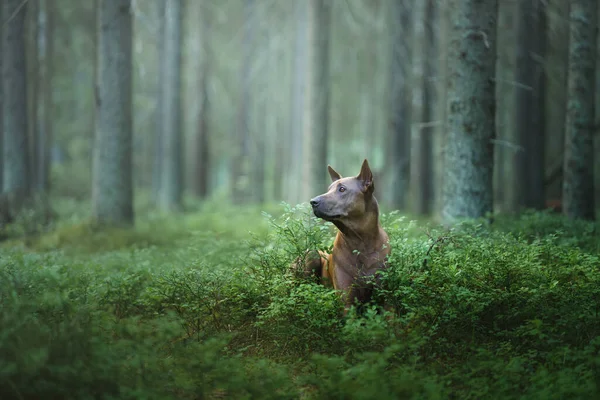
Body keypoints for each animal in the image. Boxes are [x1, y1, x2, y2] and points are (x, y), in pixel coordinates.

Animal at [298, 160, 390, 312]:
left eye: (342, 189)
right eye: (329, 189)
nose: (313, 202)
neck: (361, 242)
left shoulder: (383, 299)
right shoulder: (346, 301)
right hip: (311, 254)